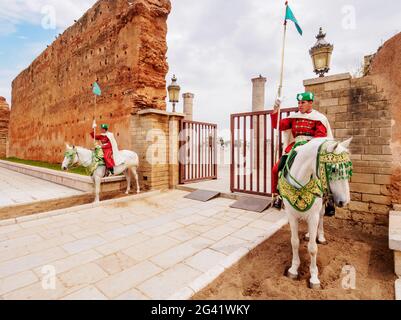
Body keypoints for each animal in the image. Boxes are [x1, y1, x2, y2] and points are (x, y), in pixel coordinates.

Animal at [280, 138, 352, 290]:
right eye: (334, 169)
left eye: (348, 169)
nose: (345, 201)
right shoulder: (291, 215)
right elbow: (294, 242)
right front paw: (293, 269)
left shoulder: (313, 216)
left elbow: (313, 248)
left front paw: (314, 277)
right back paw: (308, 234)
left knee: (321, 217)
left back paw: (321, 236)